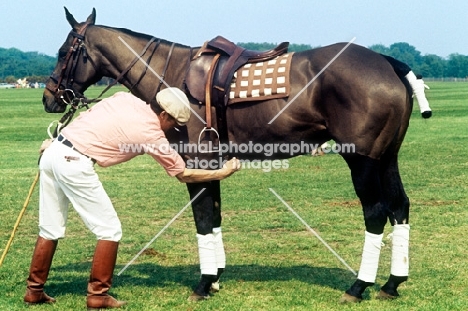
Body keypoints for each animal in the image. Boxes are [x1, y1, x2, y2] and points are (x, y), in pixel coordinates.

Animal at [42, 7, 412, 304]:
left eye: (63, 52)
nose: (50, 98)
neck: (170, 75)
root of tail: (388, 63)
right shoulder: (212, 164)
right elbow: (215, 216)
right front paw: (216, 277)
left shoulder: (196, 162)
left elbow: (204, 219)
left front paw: (204, 283)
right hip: (387, 157)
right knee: (399, 207)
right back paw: (392, 284)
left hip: (363, 160)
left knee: (376, 212)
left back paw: (358, 287)